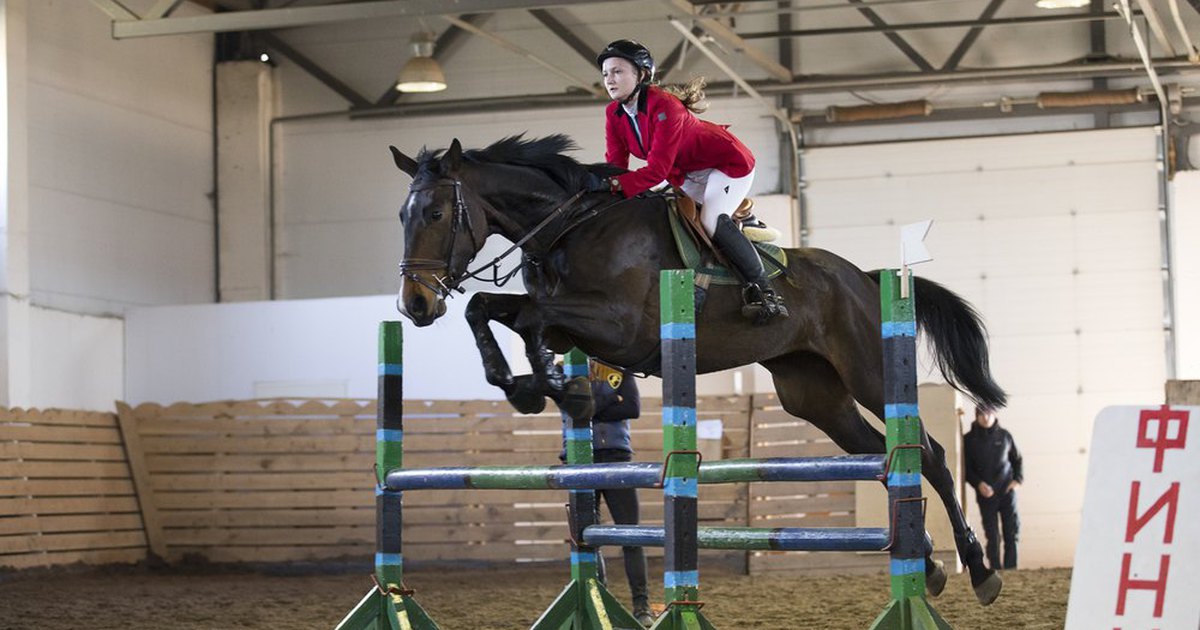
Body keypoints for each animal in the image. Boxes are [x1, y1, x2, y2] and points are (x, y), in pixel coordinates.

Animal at [388, 133, 1008, 604]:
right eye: (401, 215)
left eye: (437, 213)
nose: (414, 305)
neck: (568, 229)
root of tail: (867, 277)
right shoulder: (570, 324)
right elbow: (490, 309)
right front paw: (534, 388)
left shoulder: (618, 326)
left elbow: (532, 319)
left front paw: (556, 390)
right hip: (814, 396)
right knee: (877, 455)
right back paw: (927, 565)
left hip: (869, 374)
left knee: (929, 453)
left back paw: (979, 571)